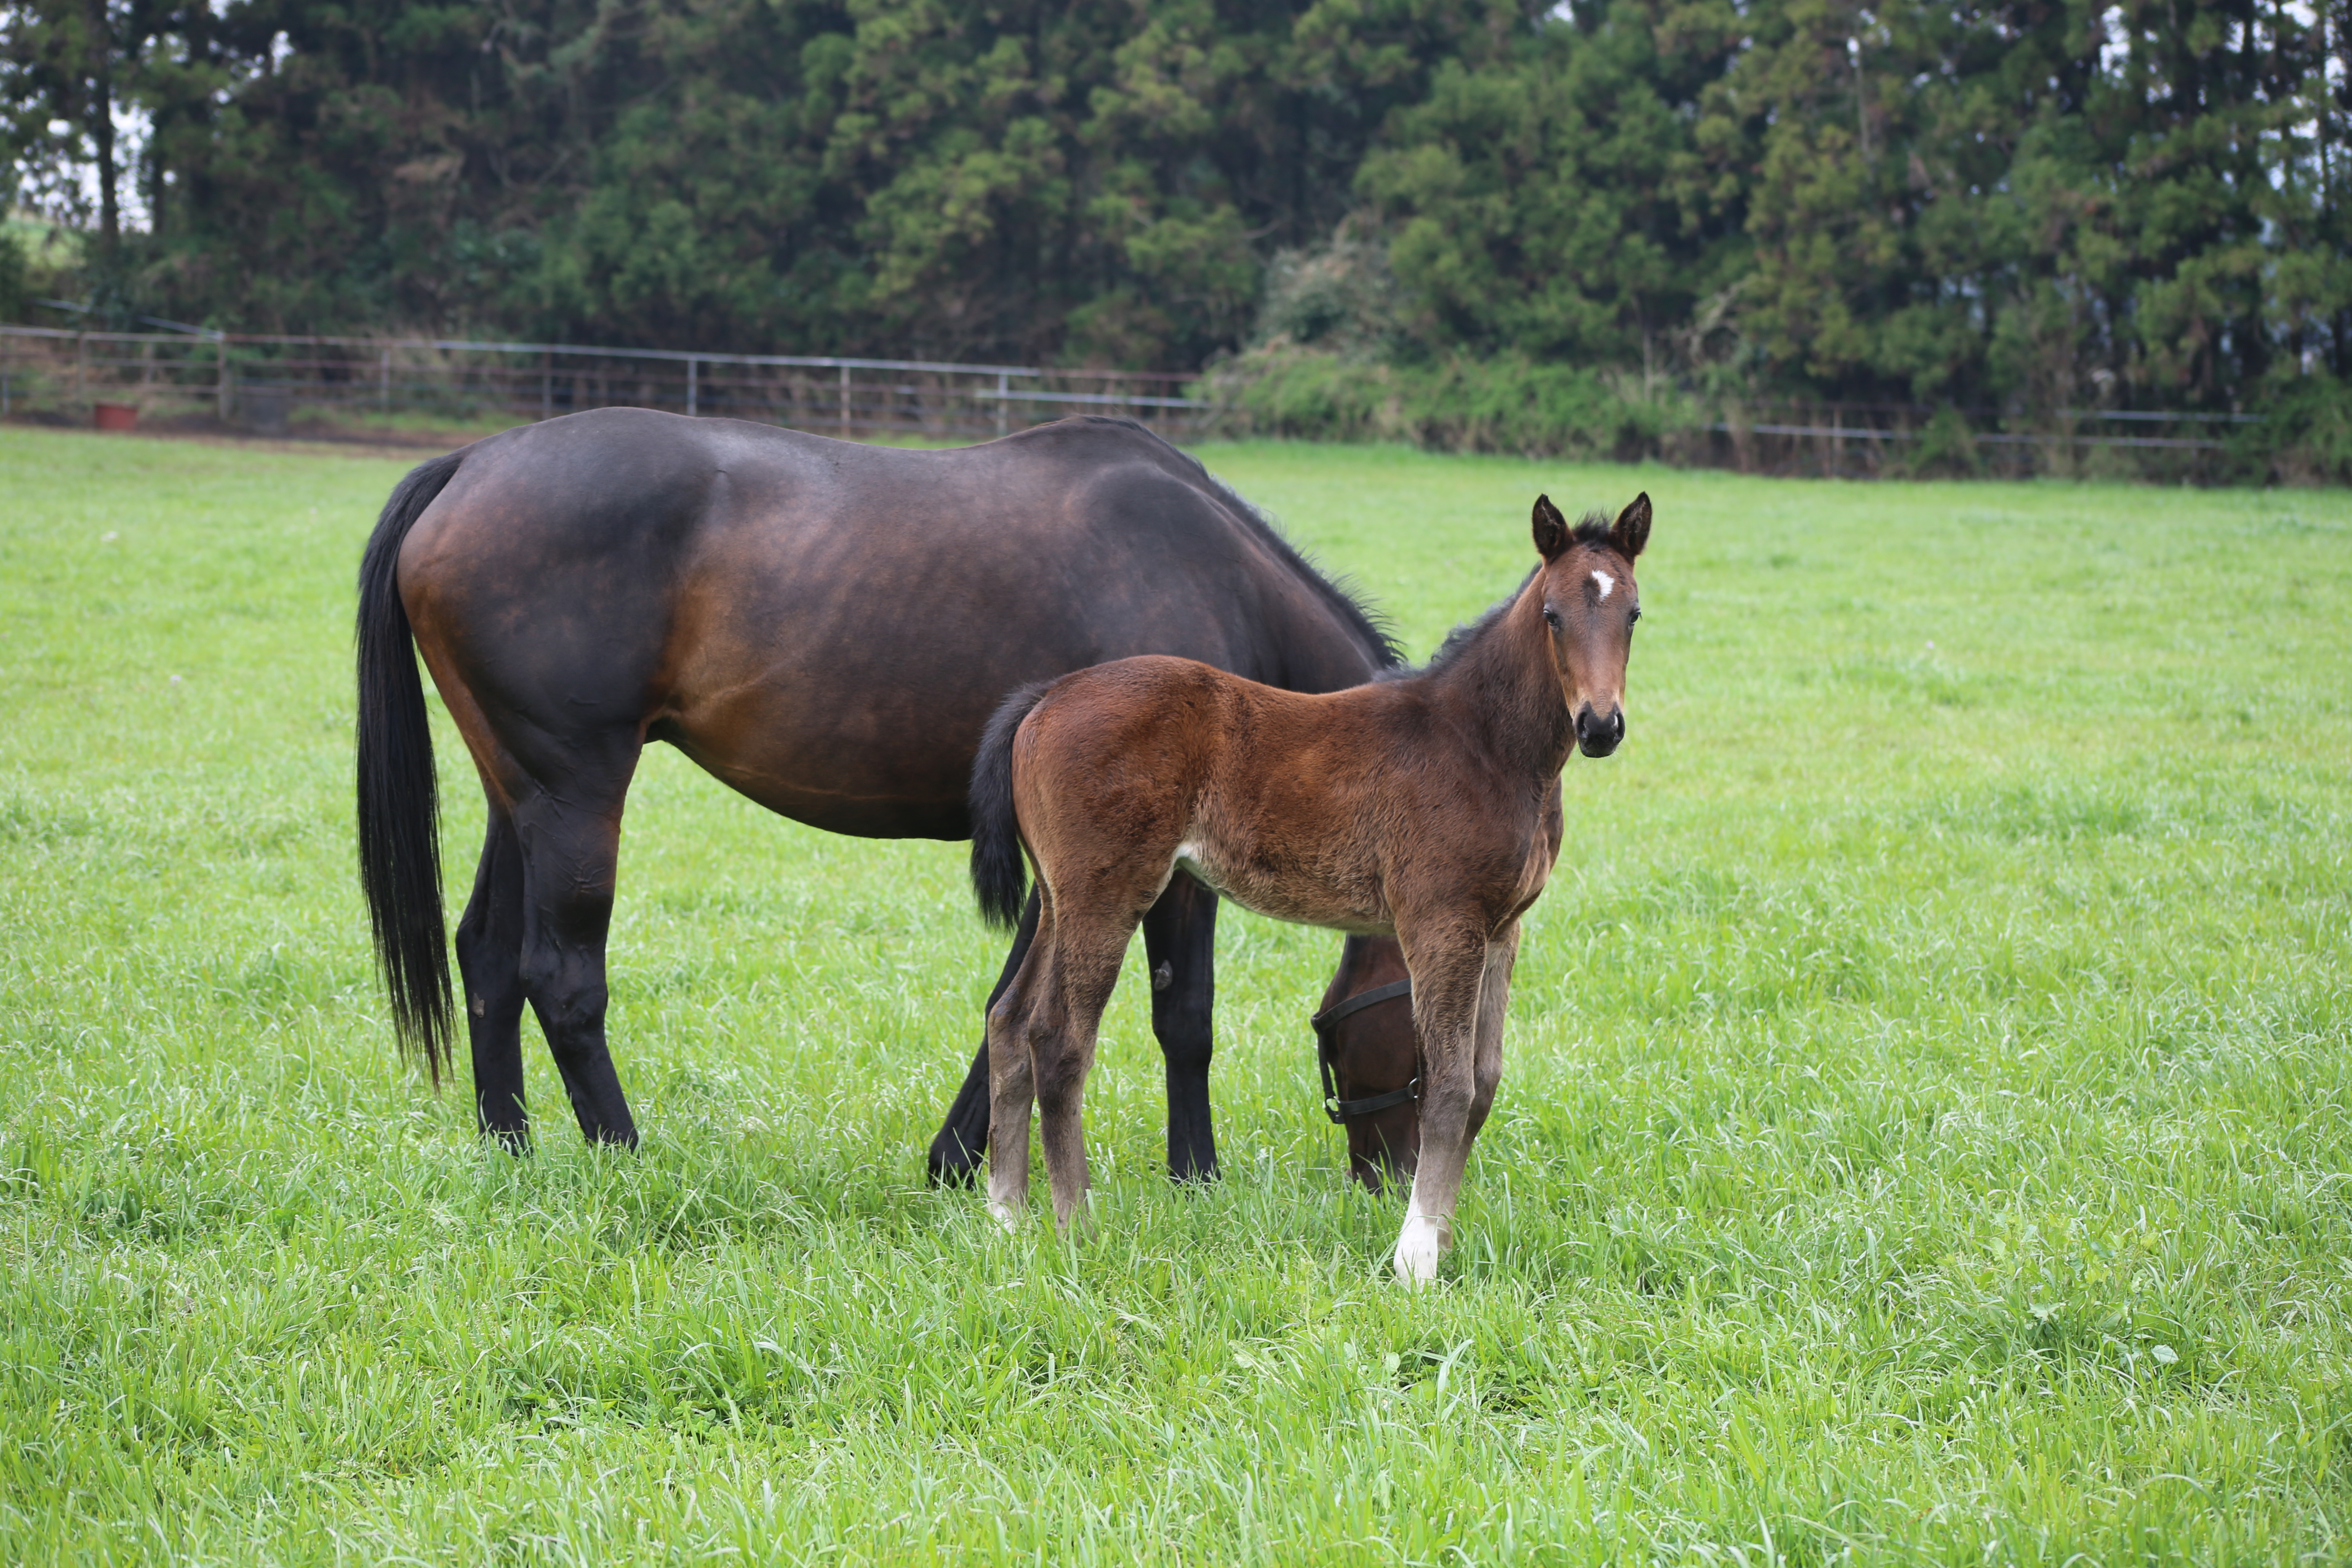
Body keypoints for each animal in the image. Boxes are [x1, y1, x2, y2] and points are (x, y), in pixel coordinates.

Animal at [345, 411, 1411, 1185]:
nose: (1390, 1180)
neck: (1215, 583)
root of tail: (469, 466)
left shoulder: (1063, 862)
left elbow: (1010, 1008)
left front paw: (957, 1163)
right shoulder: (1157, 865)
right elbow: (1181, 1015)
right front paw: (1196, 1175)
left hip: (519, 796)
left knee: (488, 958)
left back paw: (512, 1151)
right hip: (575, 793)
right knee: (562, 978)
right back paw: (624, 1155)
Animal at [964, 496, 1646, 1278]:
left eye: (1633, 613)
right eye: (1553, 615)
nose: (1600, 726)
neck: (1481, 742)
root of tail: (1047, 695)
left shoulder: (1504, 928)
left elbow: (1485, 1083)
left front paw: (1442, 1238)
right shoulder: (1442, 921)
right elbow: (1449, 1086)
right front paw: (1416, 1259)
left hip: (1057, 898)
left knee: (1009, 1021)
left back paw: (1006, 1218)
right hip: (1105, 896)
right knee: (1059, 1038)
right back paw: (1075, 1227)